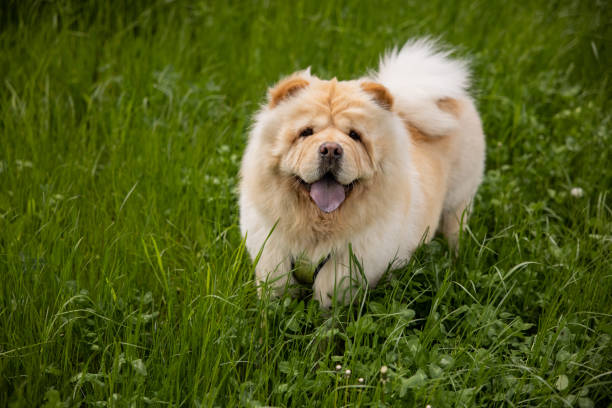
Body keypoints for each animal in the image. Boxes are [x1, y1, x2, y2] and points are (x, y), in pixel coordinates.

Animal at [238, 39, 482, 306]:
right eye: (306, 132)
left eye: (355, 135)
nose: (331, 149)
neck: (317, 225)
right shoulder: (272, 253)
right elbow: (276, 294)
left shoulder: (349, 265)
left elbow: (329, 297)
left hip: (458, 200)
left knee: (454, 228)